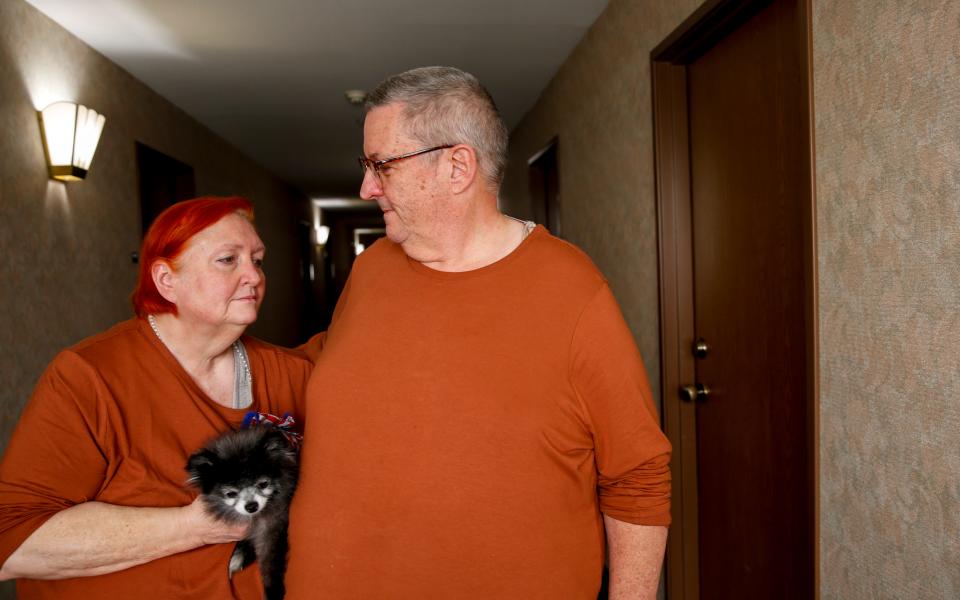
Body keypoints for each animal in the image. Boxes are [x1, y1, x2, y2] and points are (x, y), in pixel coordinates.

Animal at [184, 424, 296, 596]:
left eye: (263, 484)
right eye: (231, 493)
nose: (251, 506)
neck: (254, 518)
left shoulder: (272, 527)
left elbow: (270, 561)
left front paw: (273, 590)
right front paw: (238, 556)